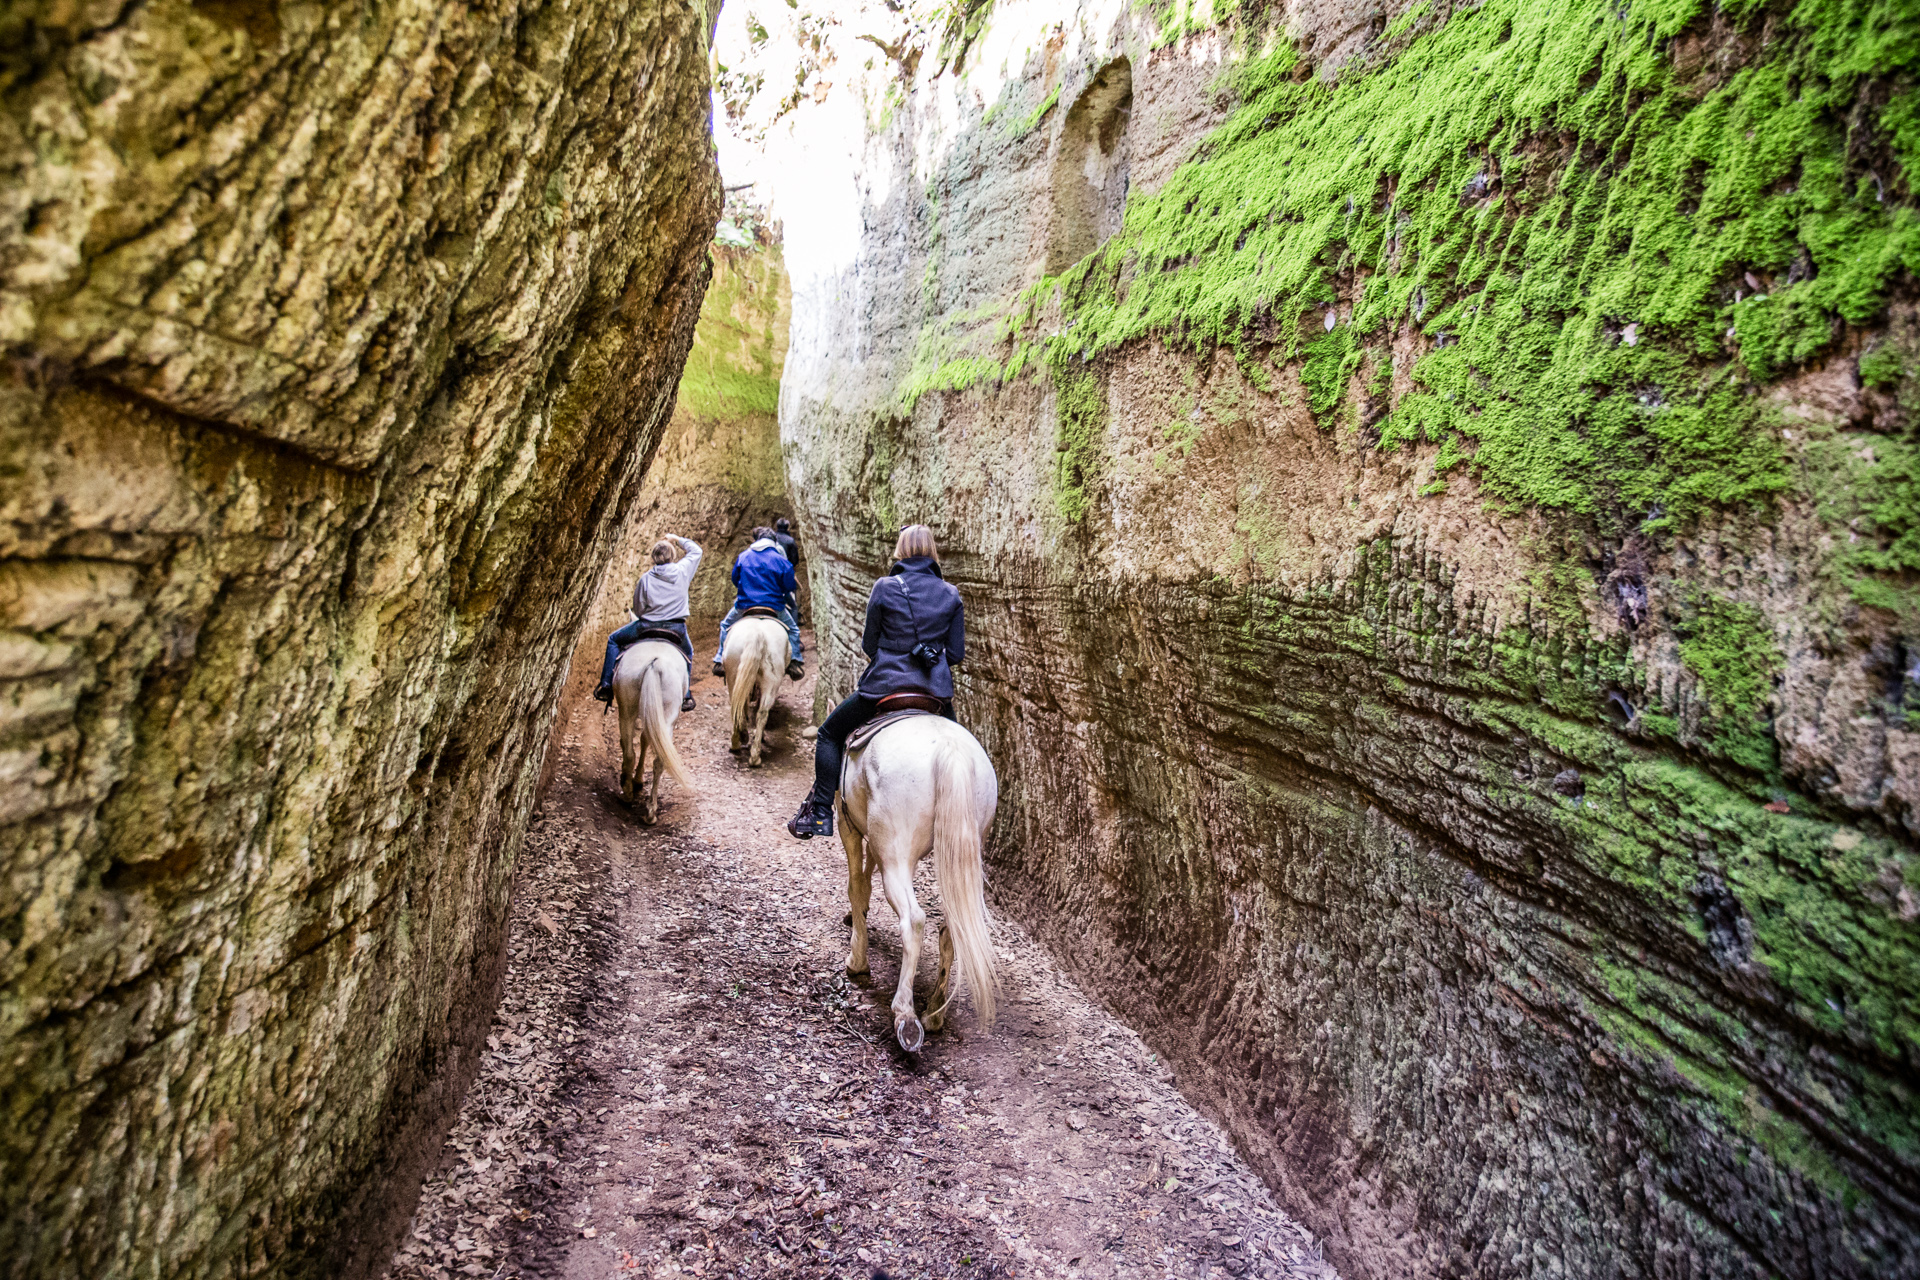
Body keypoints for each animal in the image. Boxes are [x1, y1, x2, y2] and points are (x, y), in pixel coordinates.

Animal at [614, 637, 691, 825]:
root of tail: (655, 664)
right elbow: (645, 739)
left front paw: (637, 780)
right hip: (666, 717)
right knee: (658, 760)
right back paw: (650, 811)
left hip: (627, 712)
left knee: (629, 751)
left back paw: (628, 794)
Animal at [725, 614, 787, 767]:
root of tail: (757, 634)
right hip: (769, 682)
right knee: (761, 712)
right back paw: (752, 752)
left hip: (734, 676)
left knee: (742, 708)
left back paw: (743, 744)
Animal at [837, 717, 998, 1059]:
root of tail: (952, 750)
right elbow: (865, 877)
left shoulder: (848, 825)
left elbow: (856, 884)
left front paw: (856, 961)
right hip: (957, 853)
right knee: (953, 927)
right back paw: (935, 1013)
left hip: (897, 853)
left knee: (913, 920)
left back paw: (905, 1015)